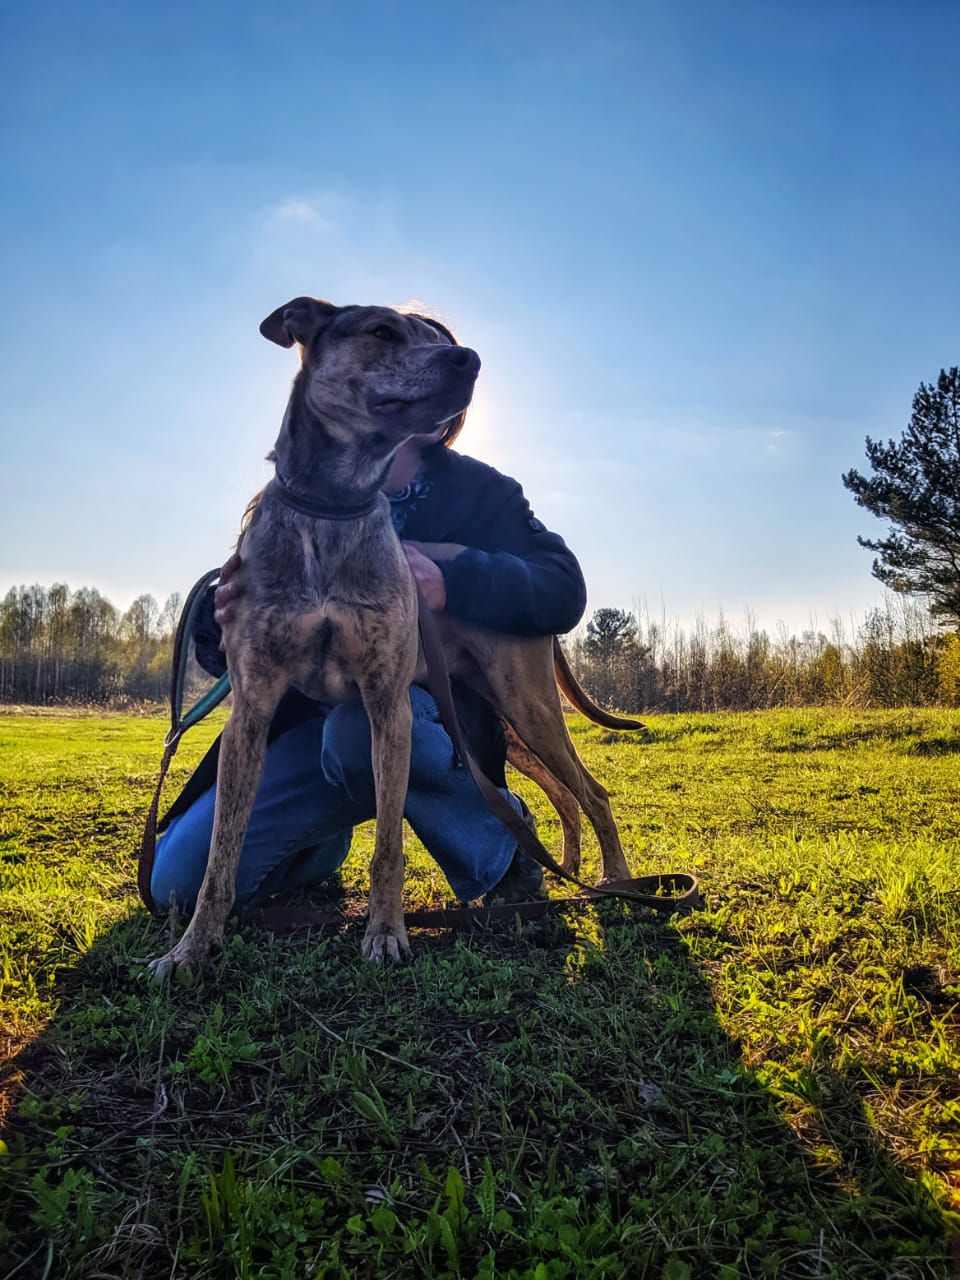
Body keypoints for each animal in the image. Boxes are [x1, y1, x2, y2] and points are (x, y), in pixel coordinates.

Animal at [146, 299, 640, 977]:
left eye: (435, 337)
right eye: (381, 331)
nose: (471, 359)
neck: (334, 507)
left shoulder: (386, 707)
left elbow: (387, 845)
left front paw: (384, 933)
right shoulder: (253, 708)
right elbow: (220, 856)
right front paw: (192, 947)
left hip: (529, 705)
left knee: (592, 793)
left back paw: (613, 881)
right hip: (507, 729)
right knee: (560, 797)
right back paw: (556, 873)